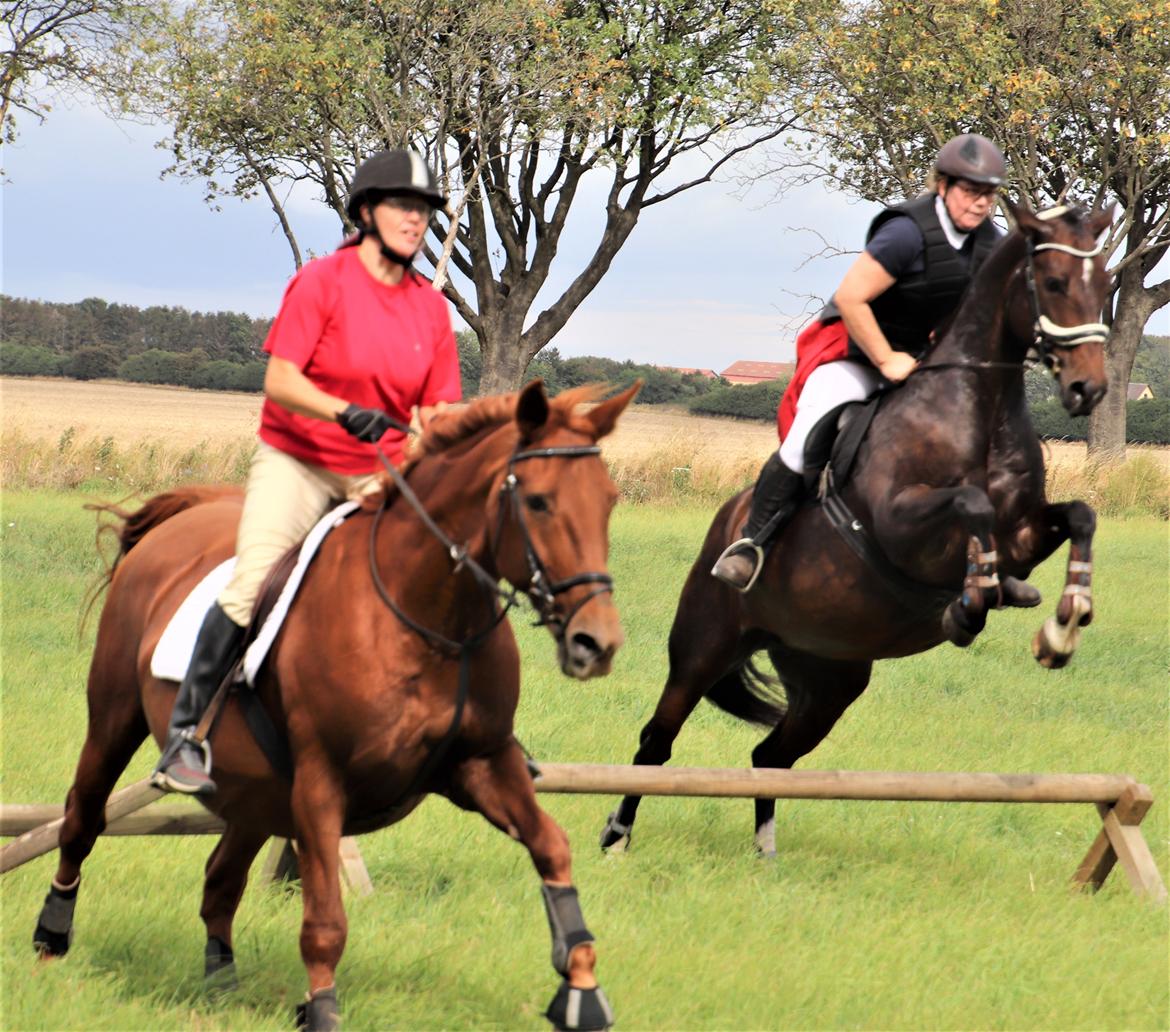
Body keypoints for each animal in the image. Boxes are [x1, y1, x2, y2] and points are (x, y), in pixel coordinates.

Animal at [36, 379, 636, 1029]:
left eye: (609, 501)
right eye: (540, 502)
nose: (596, 644)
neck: (430, 620)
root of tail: (184, 517)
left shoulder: (482, 762)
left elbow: (552, 848)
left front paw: (582, 987)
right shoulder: (321, 782)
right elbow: (324, 921)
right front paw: (321, 1010)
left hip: (256, 792)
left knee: (220, 878)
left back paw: (220, 980)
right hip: (114, 717)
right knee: (82, 819)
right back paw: (51, 940)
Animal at [603, 198, 1113, 851]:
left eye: (1105, 285)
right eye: (1051, 282)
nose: (1087, 388)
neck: (981, 407)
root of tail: (724, 523)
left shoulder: (1022, 533)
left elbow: (1079, 515)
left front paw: (1062, 625)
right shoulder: (900, 526)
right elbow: (970, 504)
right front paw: (968, 607)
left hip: (828, 674)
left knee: (771, 755)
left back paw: (765, 853)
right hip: (704, 644)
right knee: (657, 741)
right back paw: (617, 838)